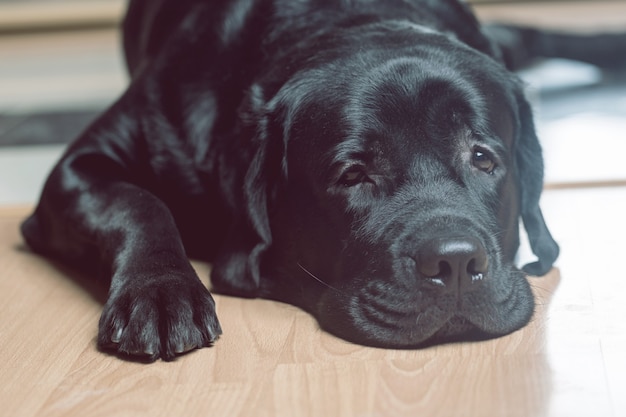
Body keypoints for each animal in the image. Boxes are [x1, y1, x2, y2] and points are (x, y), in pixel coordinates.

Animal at [20, 0, 624, 360]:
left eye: (482, 157)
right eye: (353, 175)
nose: (454, 263)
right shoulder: (81, 165)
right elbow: (139, 205)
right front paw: (160, 293)